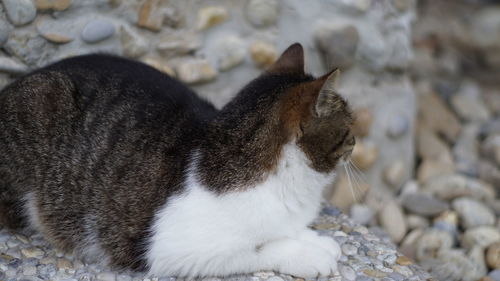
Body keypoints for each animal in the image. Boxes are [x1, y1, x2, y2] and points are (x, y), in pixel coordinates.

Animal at [0, 42, 356, 276]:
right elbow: (261, 248)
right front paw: (308, 255)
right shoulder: (174, 249)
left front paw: (315, 239)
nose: (356, 140)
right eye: (350, 125)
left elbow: (286, 231)